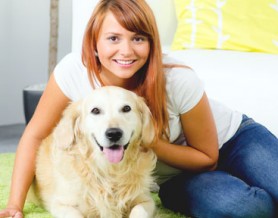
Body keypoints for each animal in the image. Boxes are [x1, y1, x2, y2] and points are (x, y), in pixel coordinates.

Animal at [31, 86, 157, 217]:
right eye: (95, 110)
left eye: (126, 108)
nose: (114, 133)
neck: (110, 170)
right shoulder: (60, 204)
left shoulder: (146, 200)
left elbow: (139, 210)